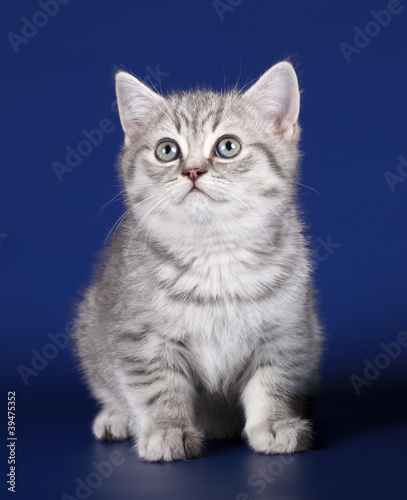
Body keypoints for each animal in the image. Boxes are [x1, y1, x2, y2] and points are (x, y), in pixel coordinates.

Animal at [71, 61, 324, 460]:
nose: (191, 170)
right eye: (167, 150)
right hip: (90, 324)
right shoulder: (140, 337)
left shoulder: (287, 331)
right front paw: (167, 429)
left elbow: (273, 381)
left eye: (228, 146)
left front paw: (274, 423)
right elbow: (158, 387)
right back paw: (116, 416)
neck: (214, 253)